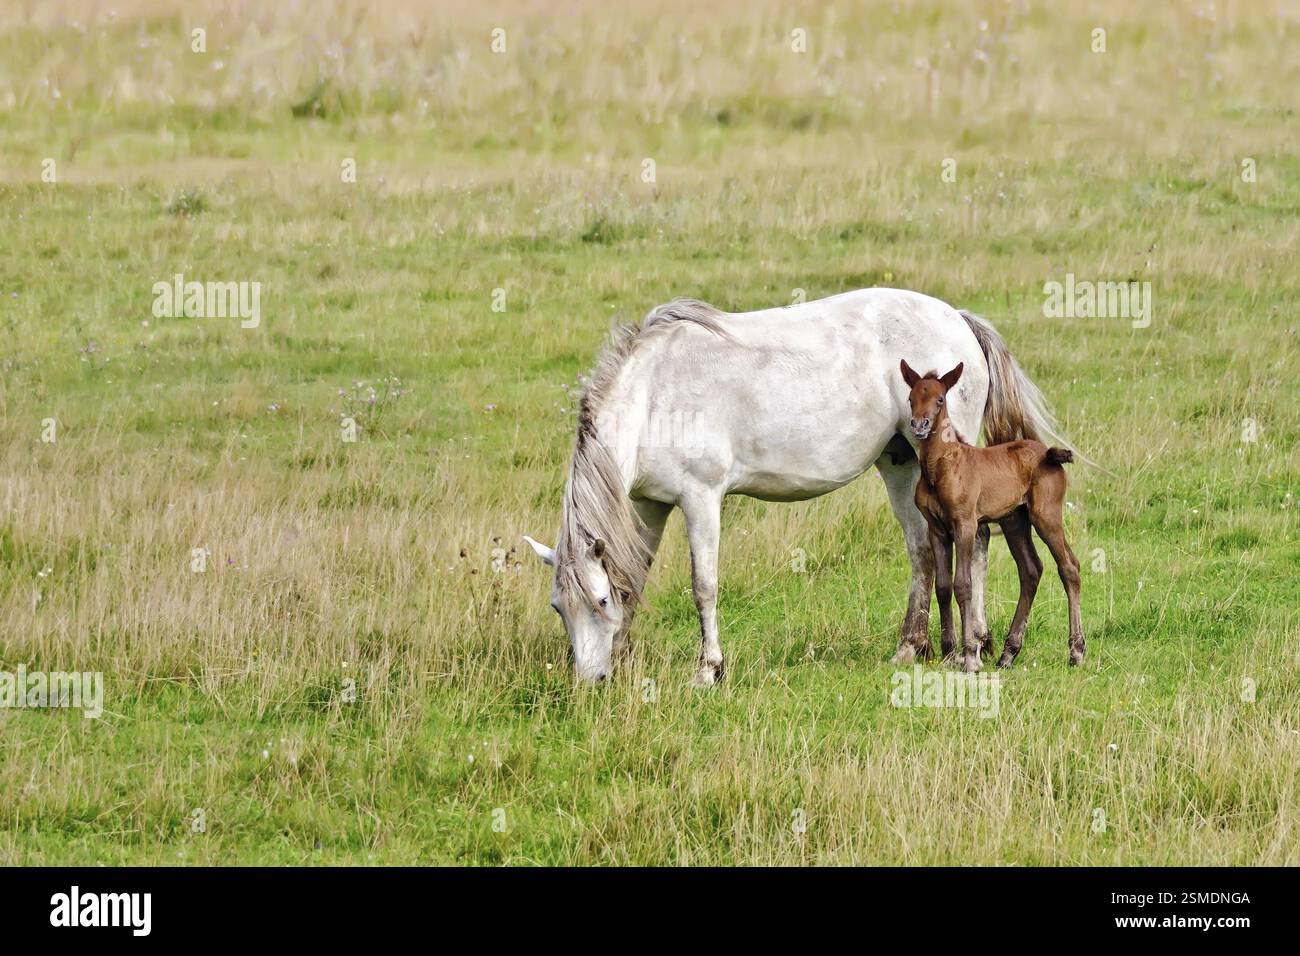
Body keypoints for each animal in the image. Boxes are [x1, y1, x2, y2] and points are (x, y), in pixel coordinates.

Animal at [901, 360, 1085, 672]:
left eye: (940, 400)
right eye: (911, 399)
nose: (919, 426)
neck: (940, 468)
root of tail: (1049, 454)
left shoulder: (965, 524)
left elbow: (964, 585)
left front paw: (969, 656)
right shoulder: (936, 529)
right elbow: (943, 586)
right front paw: (948, 653)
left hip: (1046, 516)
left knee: (1069, 567)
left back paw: (1076, 651)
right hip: (1015, 521)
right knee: (1031, 570)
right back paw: (1009, 653)